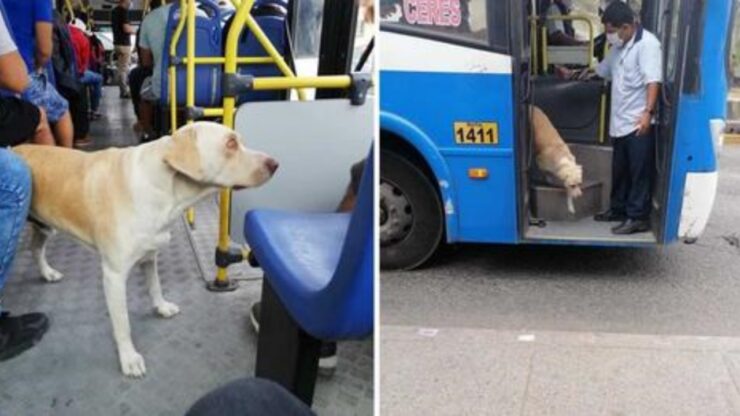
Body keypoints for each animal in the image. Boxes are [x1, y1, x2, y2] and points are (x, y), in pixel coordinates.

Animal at [11, 122, 278, 378]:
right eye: (231, 143)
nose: (275, 164)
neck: (165, 190)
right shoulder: (114, 276)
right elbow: (123, 324)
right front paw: (129, 358)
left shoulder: (150, 256)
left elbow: (155, 286)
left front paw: (161, 307)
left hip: (44, 227)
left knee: (35, 249)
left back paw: (47, 273)